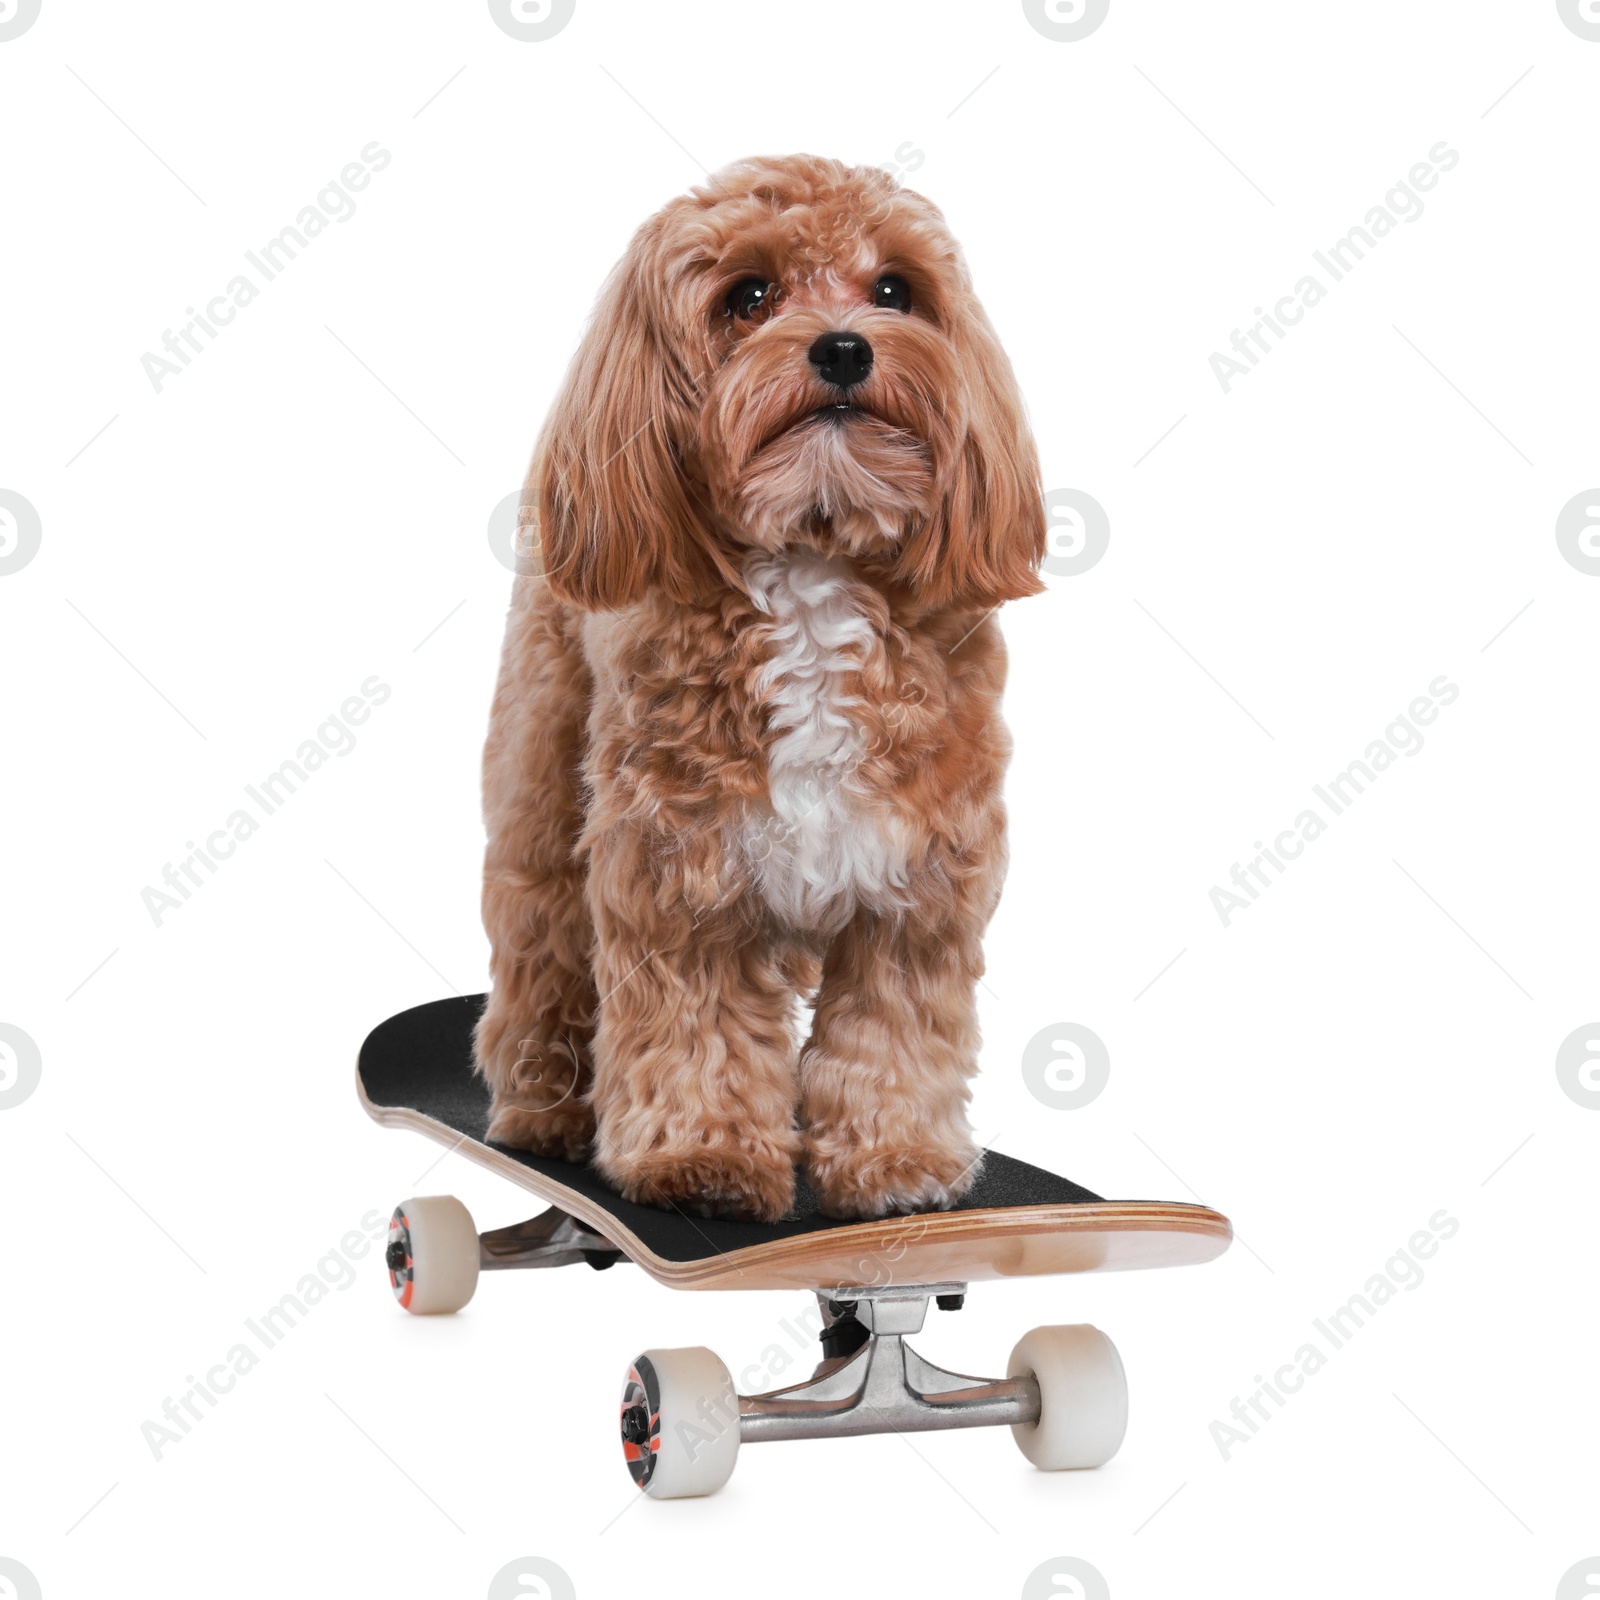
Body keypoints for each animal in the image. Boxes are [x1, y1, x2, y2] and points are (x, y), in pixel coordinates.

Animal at [473, 152, 1049, 1222]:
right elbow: (694, 1026)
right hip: (540, 781)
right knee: (538, 943)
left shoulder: (920, 883)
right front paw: (699, 1158)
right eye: (748, 297)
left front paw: (895, 1159)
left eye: (895, 291)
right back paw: (544, 1106)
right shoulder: (678, 876)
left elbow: (892, 1029)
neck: (814, 562)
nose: (844, 348)